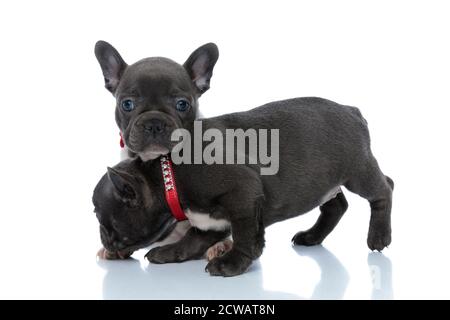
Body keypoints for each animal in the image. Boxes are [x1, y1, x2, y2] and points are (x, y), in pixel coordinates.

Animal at [92, 96, 394, 276]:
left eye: (100, 217)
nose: (103, 238)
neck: (167, 178)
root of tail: (352, 110)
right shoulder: (208, 221)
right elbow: (192, 240)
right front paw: (170, 253)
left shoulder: (243, 195)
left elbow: (245, 235)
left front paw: (232, 263)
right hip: (325, 182)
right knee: (335, 205)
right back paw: (312, 236)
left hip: (357, 172)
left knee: (384, 189)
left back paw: (379, 236)